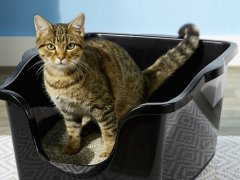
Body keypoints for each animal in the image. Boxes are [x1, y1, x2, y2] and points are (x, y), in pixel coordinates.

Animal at [33, 13, 199, 158]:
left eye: (70, 46)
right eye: (50, 46)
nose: (61, 57)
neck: (61, 79)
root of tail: (143, 78)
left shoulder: (104, 106)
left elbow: (109, 132)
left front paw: (108, 150)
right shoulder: (67, 110)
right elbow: (72, 132)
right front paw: (71, 149)